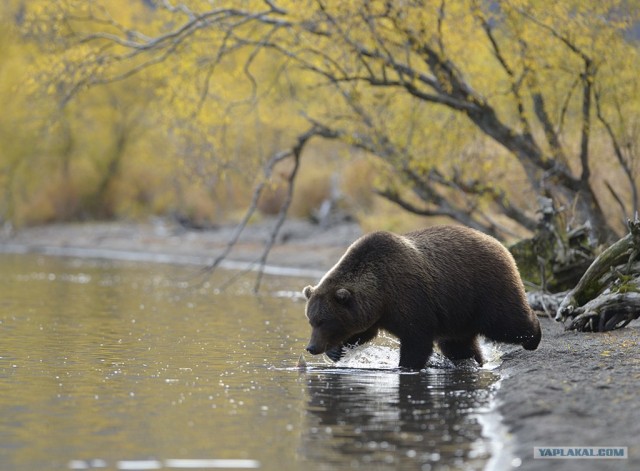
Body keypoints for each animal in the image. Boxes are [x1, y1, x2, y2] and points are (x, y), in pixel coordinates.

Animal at [302, 227, 544, 370]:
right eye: (312, 320)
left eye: (323, 320)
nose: (311, 347)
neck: (382, 294)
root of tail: (500, 244)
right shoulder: (373, 312)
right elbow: (362, 332)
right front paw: (336, 350)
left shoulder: (411, 298)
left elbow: (416, 340)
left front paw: (405, 365)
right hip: (458, 315)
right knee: (458, 344)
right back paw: (473, 360)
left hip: (484, 290)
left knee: (506, 322)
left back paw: (533, 337)